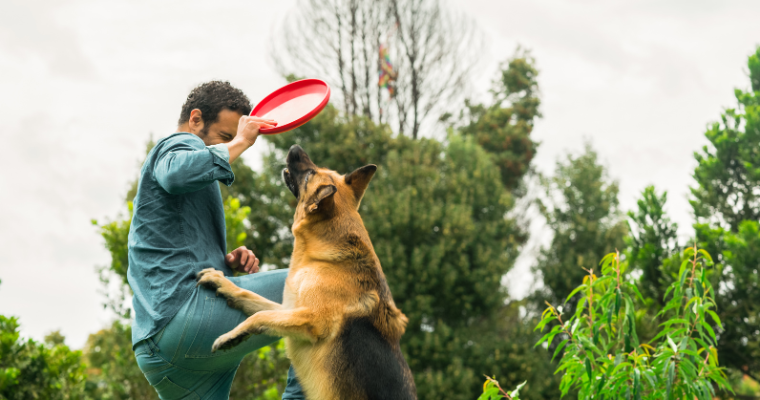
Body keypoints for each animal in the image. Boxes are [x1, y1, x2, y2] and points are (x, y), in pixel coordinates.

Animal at [193, 146, 412, 400]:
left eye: (310, 174)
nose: (295, 148)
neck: (323, 257)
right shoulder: (290, 308)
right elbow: (252, 300)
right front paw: (222, 283)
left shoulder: (313, 319)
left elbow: (259, 316)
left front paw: (230, 337)